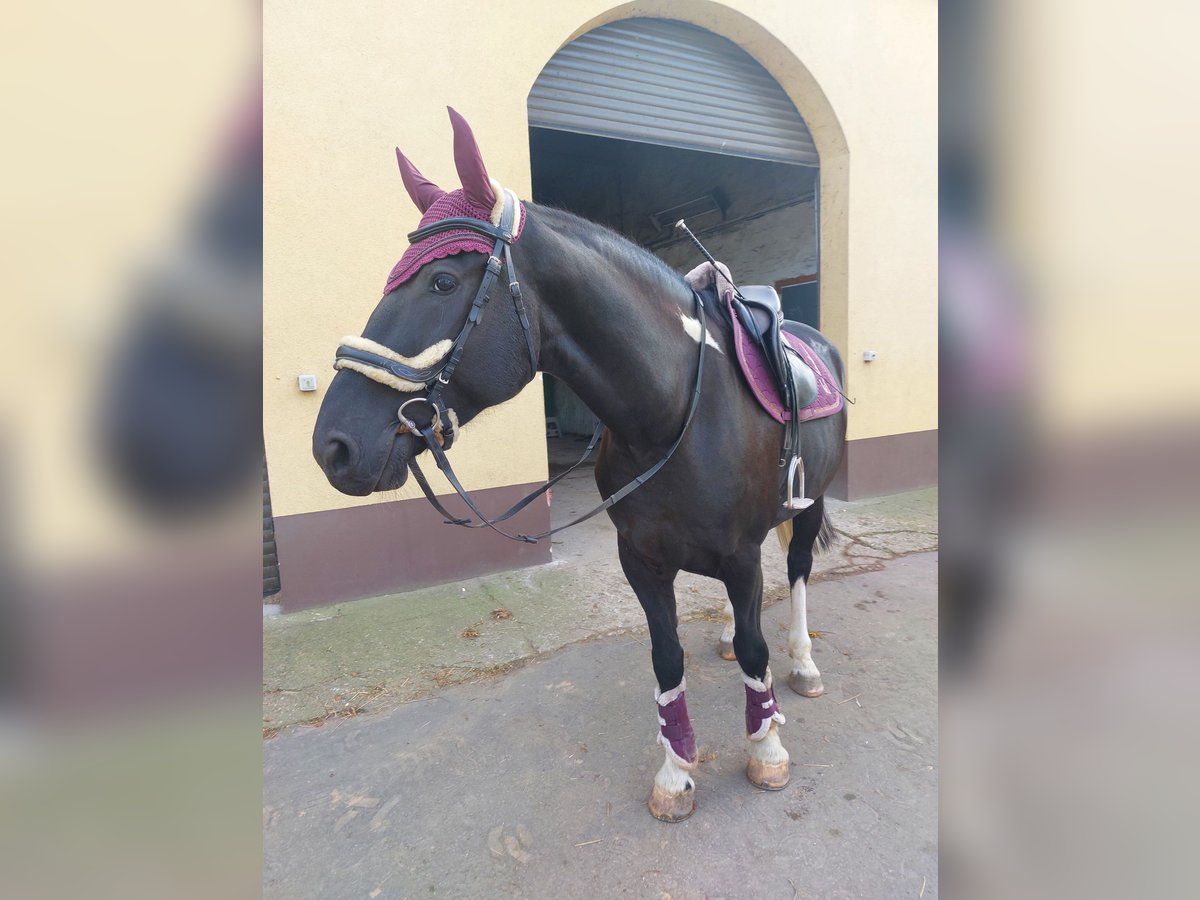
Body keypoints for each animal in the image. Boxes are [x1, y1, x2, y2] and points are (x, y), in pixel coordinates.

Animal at [314, 109, 849, 820]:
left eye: (443, 280)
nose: (334, 445)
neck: (674, 411)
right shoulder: (641, 558)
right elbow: (667, 658)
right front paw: (676, 772)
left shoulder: (738, 553)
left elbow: (757, 647)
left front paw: (766, 749)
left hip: (809, 503)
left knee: (796, 573)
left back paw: (804, 663)